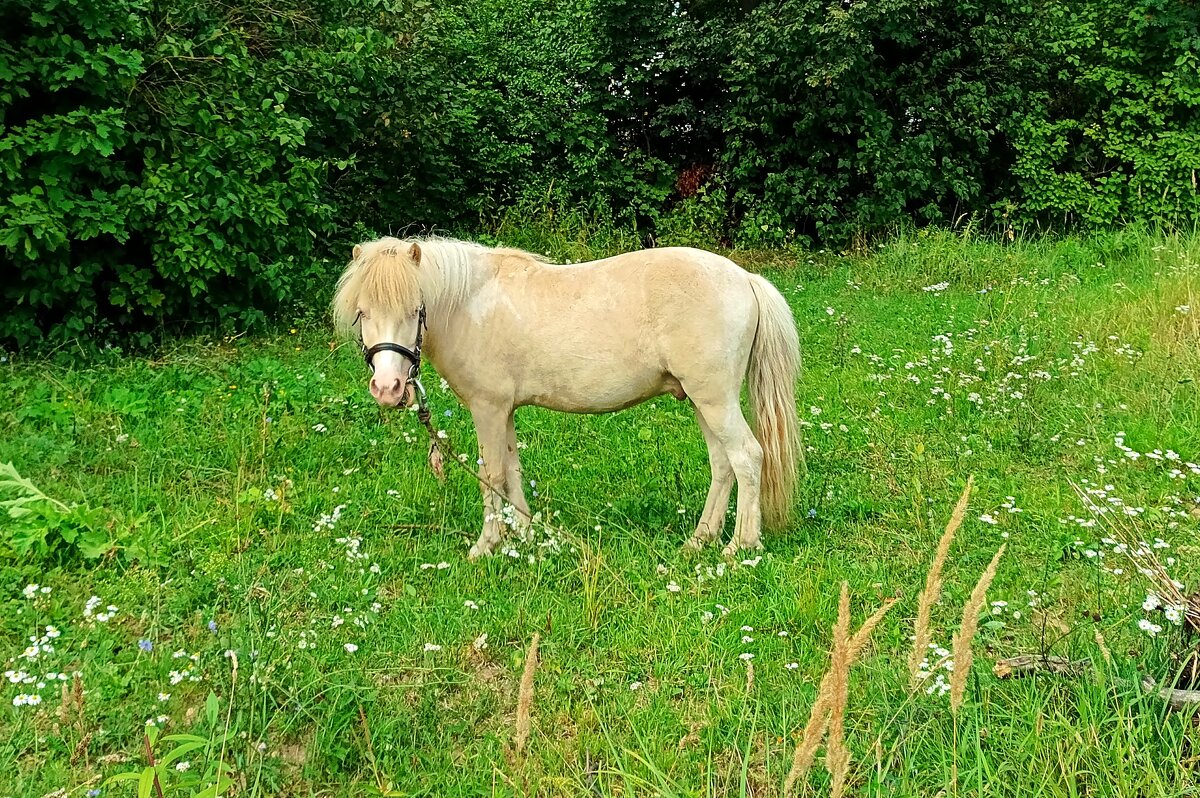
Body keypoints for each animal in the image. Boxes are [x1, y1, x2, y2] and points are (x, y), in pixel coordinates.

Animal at [333, 236, 801, 559]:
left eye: (416, 309)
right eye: (362, 313)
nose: (388, 389)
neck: (470, 304)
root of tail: (745, 279)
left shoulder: (488, 408)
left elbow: (492, 474)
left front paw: (487, 545)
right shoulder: (505, 411)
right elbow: (513, 470)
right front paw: (524, 536)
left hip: (715, 399)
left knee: (746, 457)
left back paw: (740, 546)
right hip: (702, 400)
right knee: (723, 464)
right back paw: (699, 540)